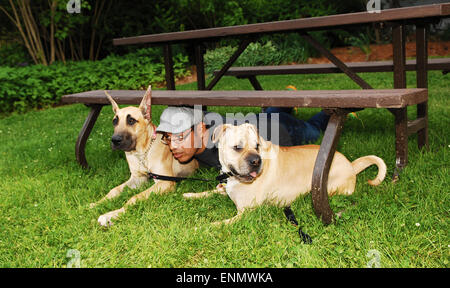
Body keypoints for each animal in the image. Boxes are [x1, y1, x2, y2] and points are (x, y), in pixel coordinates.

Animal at [90, 85, 198, 227]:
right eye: (115, 121)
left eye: (131, 120)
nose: (115, 140)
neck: (142, 152)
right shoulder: (138, 178)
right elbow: (114, 190)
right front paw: (97, 203)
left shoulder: (165, 182)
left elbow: (134, 197)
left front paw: (112, 214)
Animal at [185, 122, 384, 224]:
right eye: (237, 147)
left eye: (257, 146)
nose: (256, 161)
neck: (233, 178)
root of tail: (351, 165)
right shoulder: (224, 189)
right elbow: (211, 191)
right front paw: (190, 194)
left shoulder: (245, 212)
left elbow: (222, 223)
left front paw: (205, 227)